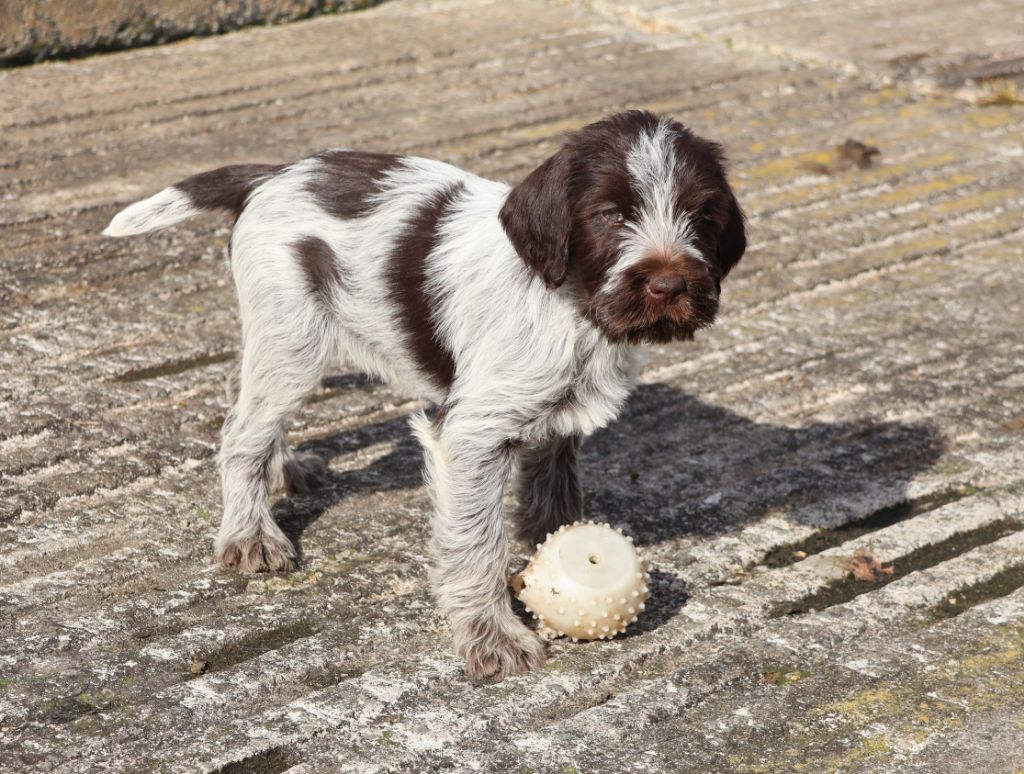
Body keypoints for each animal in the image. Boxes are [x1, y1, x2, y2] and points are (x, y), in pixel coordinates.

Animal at [103, 109, 745, 675]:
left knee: (250, 400)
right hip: (295, 339)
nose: (670, 285)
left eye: (701, 215)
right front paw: (491, 637)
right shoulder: (471, 433)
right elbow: (476, 543)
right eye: (610, 214)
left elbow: (556, 497)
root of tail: (276, 173)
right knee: (242, 433)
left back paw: (282, 467)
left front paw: (549, 548)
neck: (574, 309)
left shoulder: (557, 420)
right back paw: (250, 532)